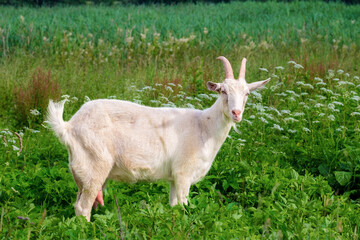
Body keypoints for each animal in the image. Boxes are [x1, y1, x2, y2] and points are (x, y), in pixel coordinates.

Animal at [46, 56, 268, 221]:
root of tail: (68, 126)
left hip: (82, 172)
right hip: (94, 165)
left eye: (247, 93)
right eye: (223, 91)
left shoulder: (173, 177)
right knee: (83, 208)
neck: (204, 126)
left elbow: (174, 207)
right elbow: (184, 207)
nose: (236, 113)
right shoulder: (183, 173)